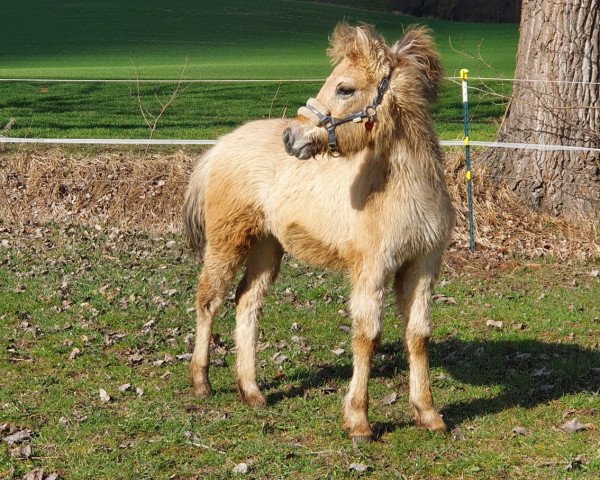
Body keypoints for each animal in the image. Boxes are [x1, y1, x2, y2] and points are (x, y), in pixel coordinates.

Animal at [183, 23, 454, 442]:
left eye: (344, 88)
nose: (291, 136)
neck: (403, 191)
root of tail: (219, 147)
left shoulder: (423, 265)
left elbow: (418, 334)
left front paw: (427, 413)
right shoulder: (371, 269)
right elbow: (366, 336)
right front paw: (358, 421)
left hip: (267, 247)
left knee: (247, 302)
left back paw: (252, 391)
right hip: (228, 241)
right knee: (208, 300)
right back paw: (202, 383)